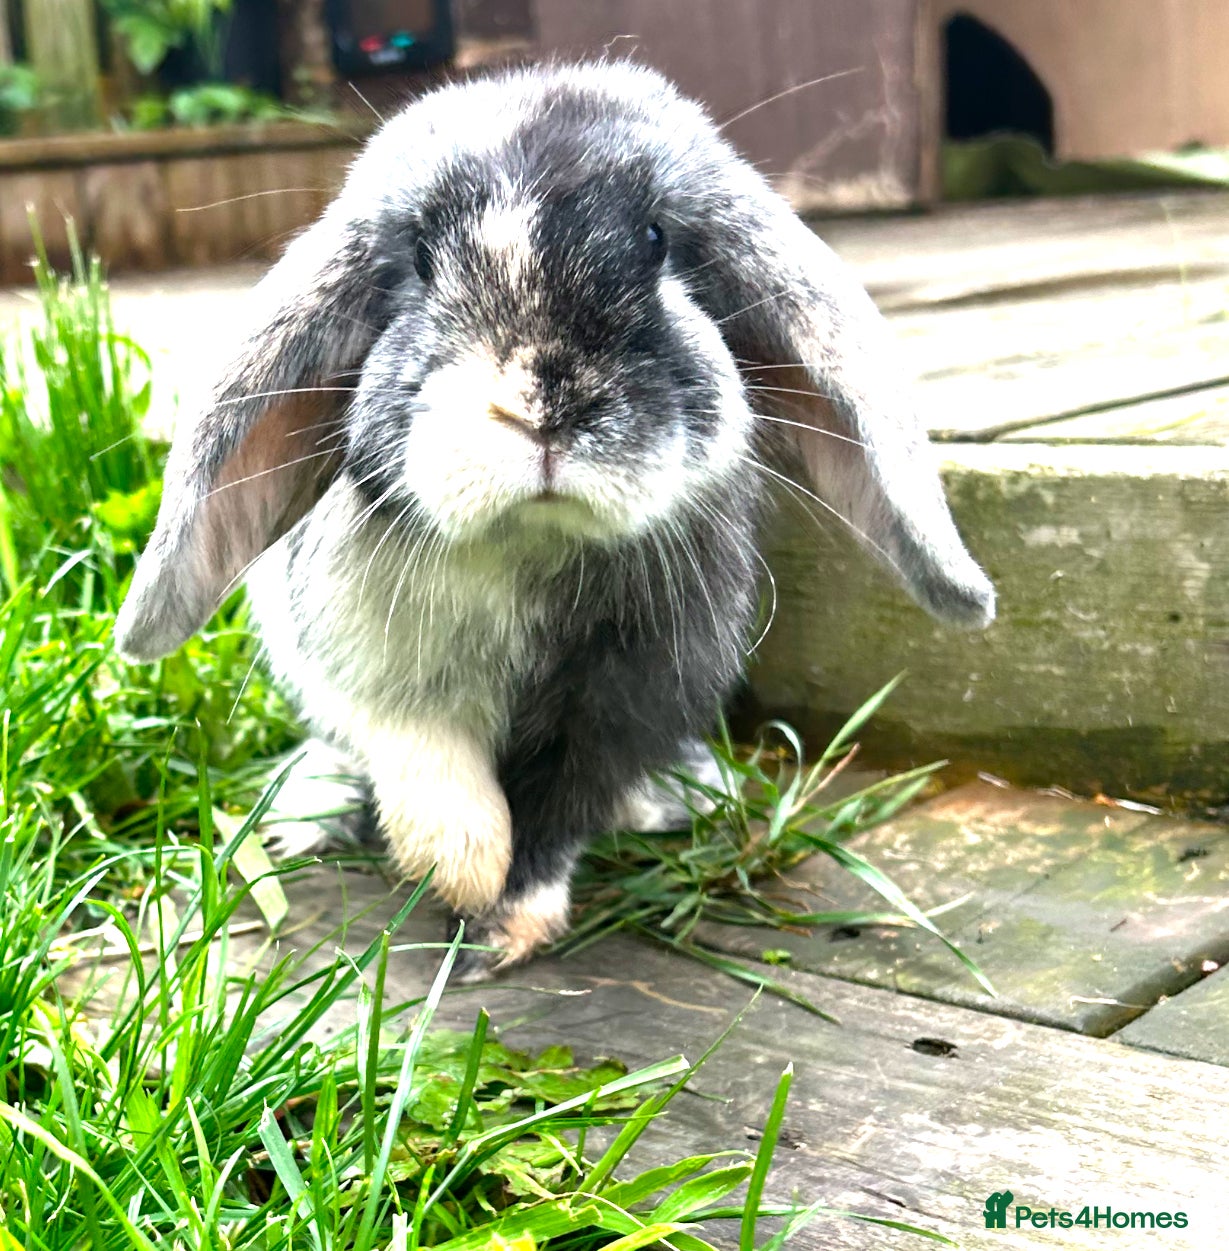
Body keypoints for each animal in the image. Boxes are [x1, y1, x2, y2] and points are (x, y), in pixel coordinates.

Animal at [115, 60, 994, 978]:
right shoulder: (360, 657)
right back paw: (310, 809)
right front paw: (459, 863)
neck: (525, 546)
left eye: (656, 240)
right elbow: (417, 746)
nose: (542, 405)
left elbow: (560, 808)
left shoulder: (619, 701)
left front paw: (506, 923)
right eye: (419, 257)